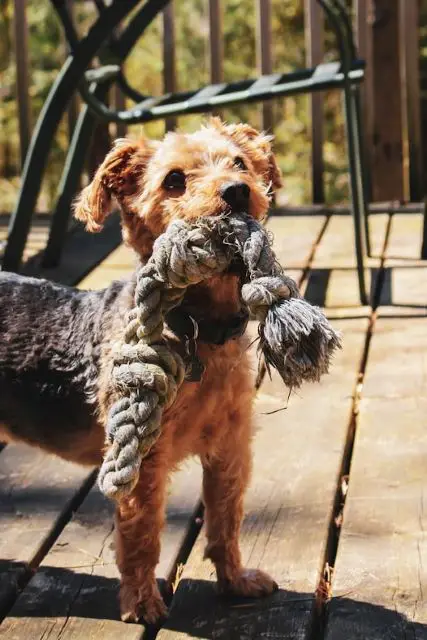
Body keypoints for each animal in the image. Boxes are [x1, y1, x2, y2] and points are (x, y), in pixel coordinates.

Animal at [0, 117, 284, 624]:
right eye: (173, 180)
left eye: (240, 162)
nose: (236, 191)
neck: (198, 329)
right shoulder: (141, 458)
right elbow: (142, 536)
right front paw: (143, 604)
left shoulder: (230, 447)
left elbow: (226, 518)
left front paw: (237, 581)